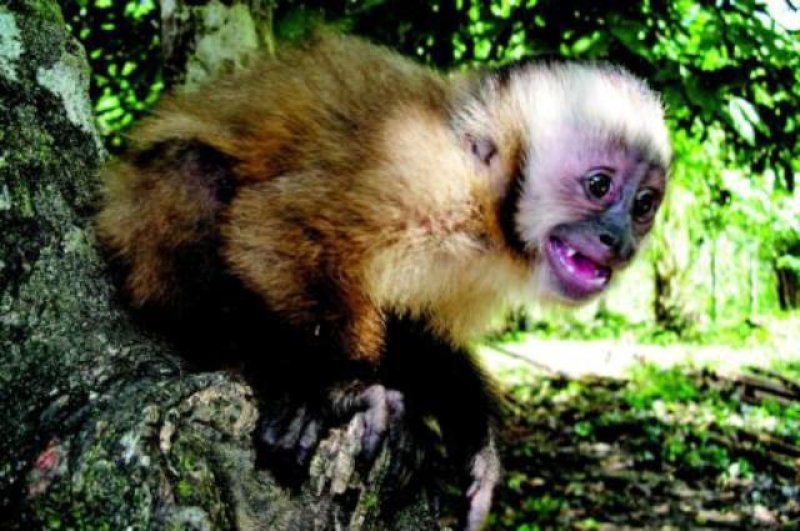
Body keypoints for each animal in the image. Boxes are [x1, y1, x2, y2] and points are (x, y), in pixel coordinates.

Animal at [96, 32, 671, 530]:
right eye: (599, 186)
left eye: (644, 205)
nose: (619, 239)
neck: (488, 212)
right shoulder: (415, 174)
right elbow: (273, 225)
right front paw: (338, 389)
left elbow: (417, 326)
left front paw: (474, 445)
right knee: (194, 171)